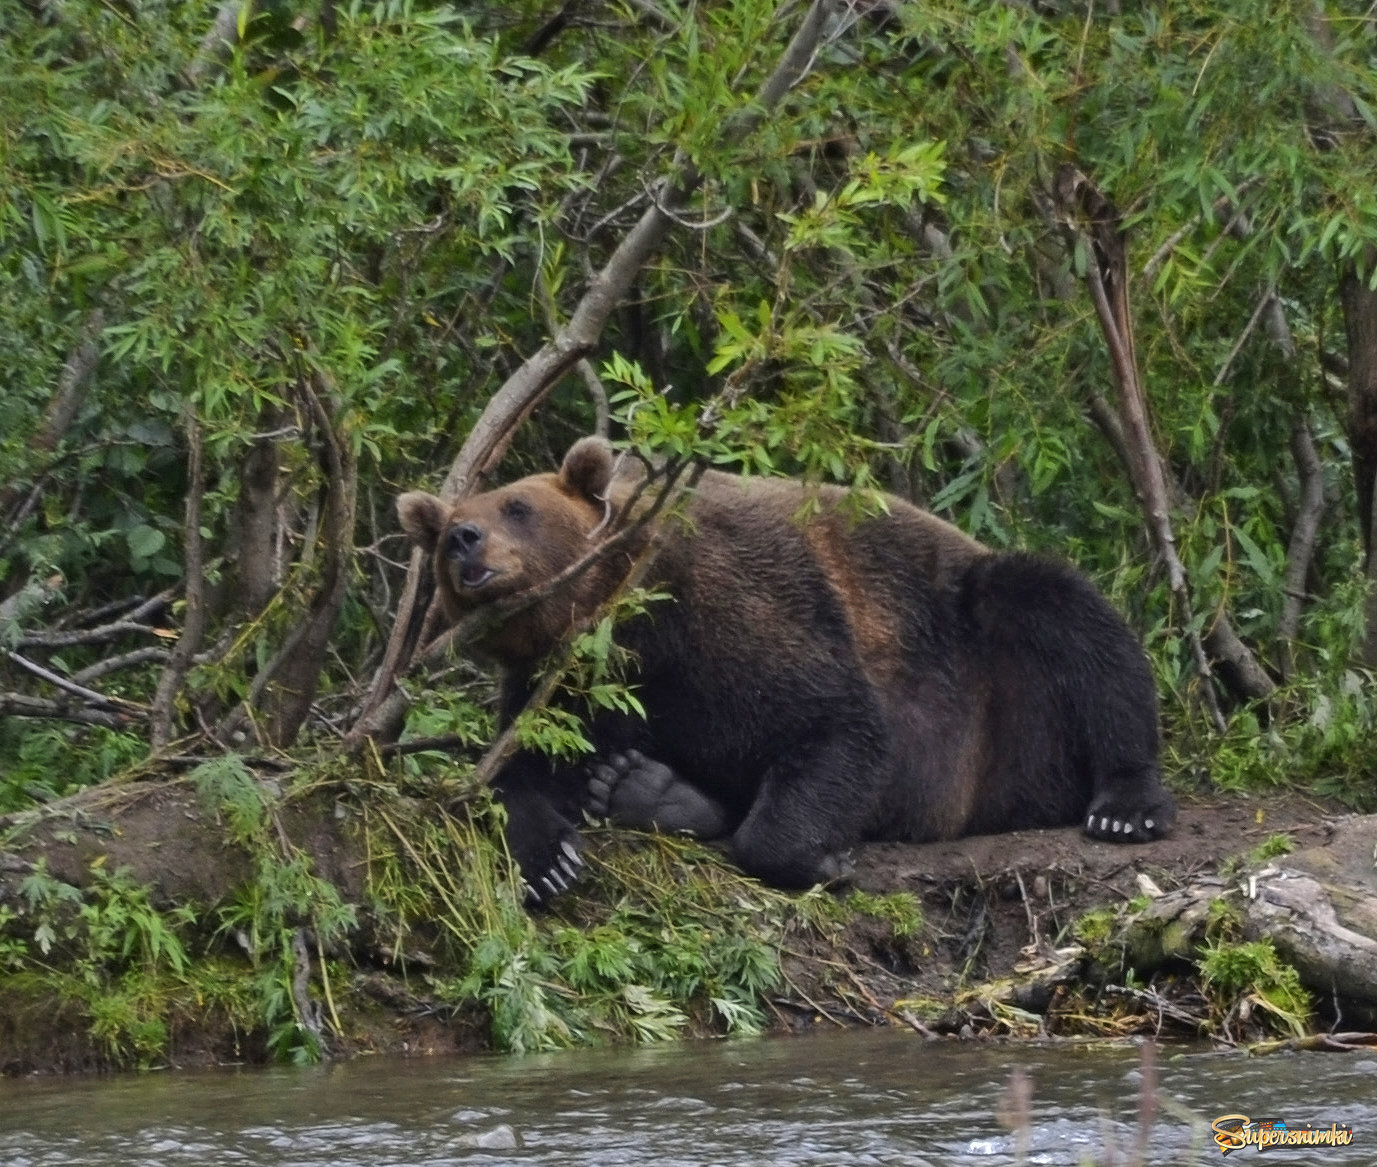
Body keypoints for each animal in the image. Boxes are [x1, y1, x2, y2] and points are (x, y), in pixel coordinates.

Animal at [399, 438, 1173, 903]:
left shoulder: (725, 610)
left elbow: (828, 721)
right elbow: (516, 769)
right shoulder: (562, 685)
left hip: (995, 685)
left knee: (1067, 618)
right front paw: (546, 857)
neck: (612, 624)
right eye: (447, 529)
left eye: (516, 506)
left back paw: (1124, 803)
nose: (464, 539)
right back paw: (647, 789)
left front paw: (818, 859)